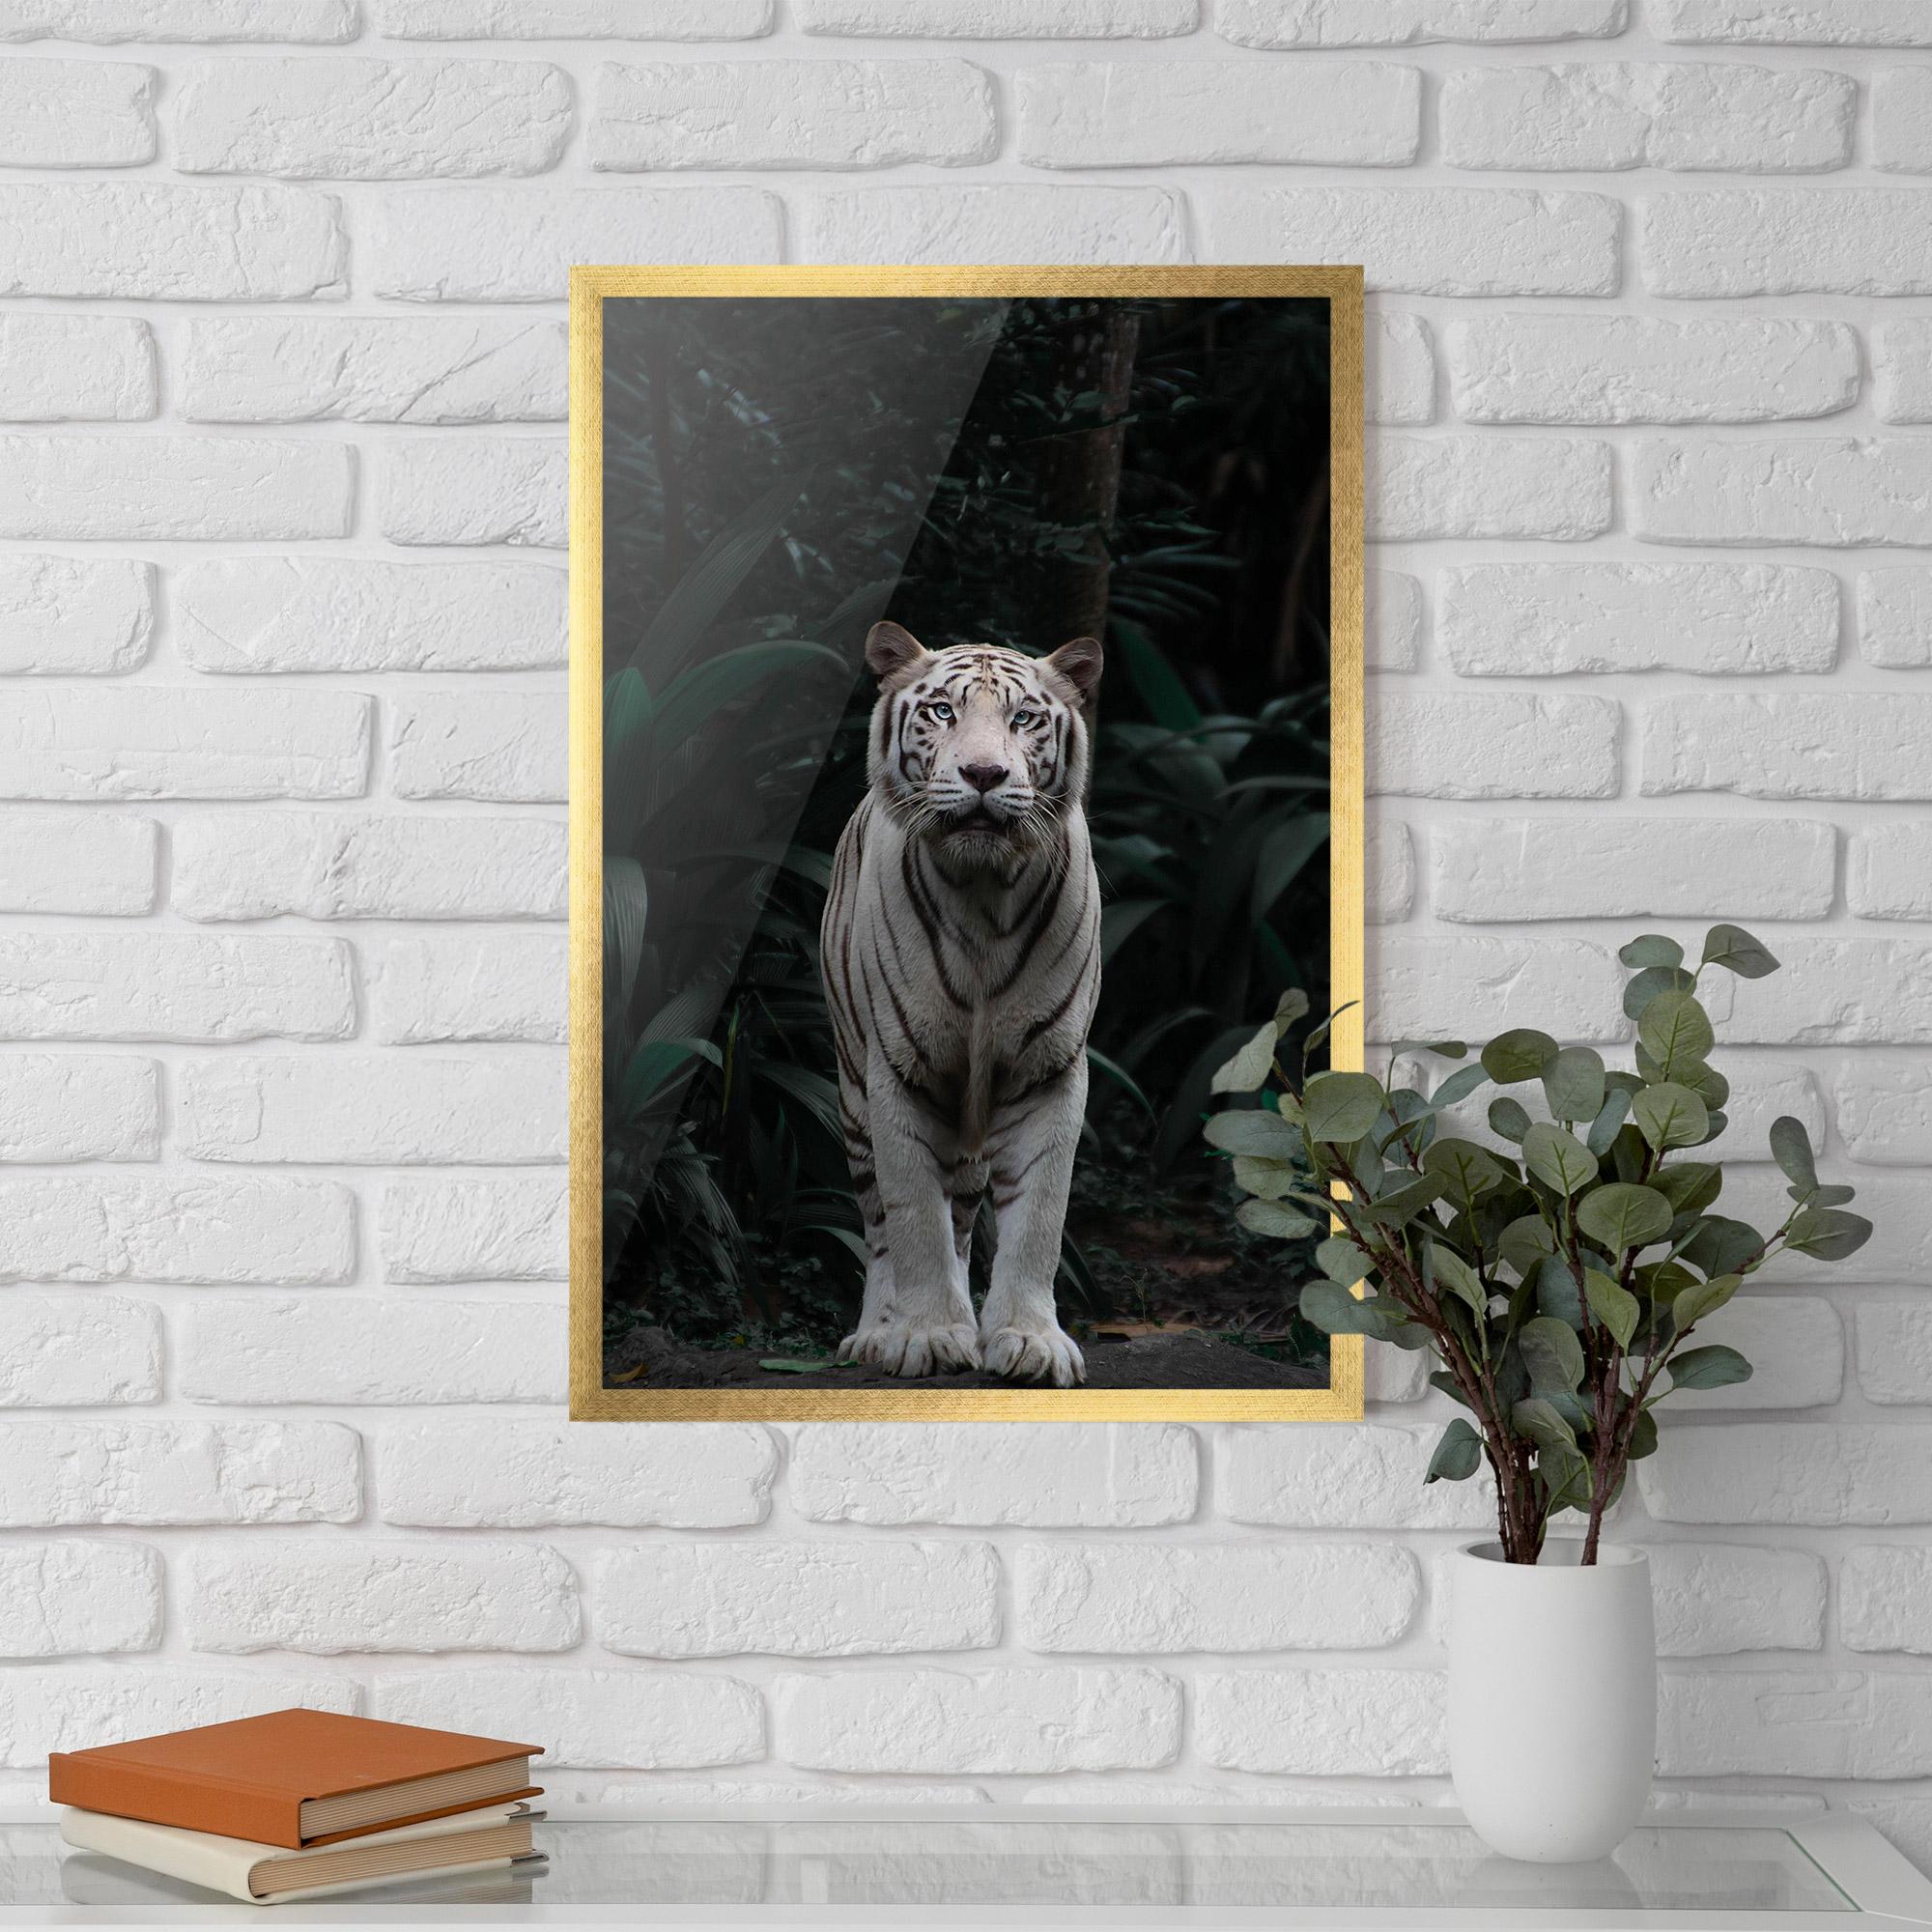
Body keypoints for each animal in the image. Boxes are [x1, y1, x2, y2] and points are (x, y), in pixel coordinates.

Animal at [819, 620, 1104, 1388]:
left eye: (1024, 718)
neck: (983, 895)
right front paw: (927, 1335)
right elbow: (915, 1217)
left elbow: (1039, 1216)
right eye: (943, 711)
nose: (983, 775)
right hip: (852, 1095)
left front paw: (1029, 1340)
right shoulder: (898, 1071)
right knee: (880, 1227)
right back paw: (876, 1334)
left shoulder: (1048, 1071)